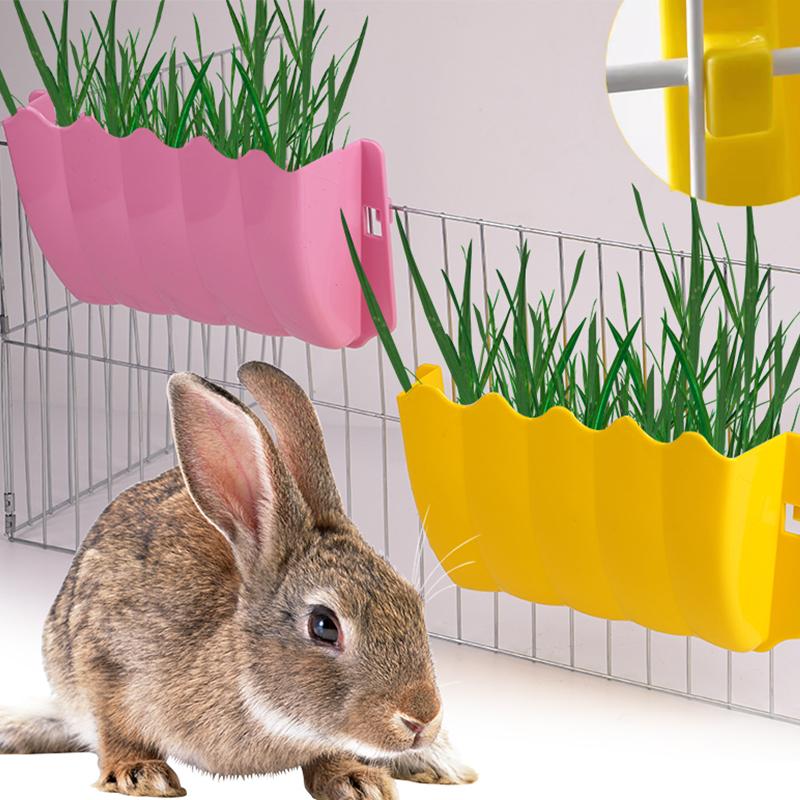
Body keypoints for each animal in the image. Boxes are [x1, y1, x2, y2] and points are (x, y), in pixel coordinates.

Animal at [0, 362, 477, 798]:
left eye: (413, 603)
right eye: (324, 626)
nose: (422, 718)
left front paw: (357, 780)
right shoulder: (103, 659)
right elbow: (115, 728)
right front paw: (140, 774)